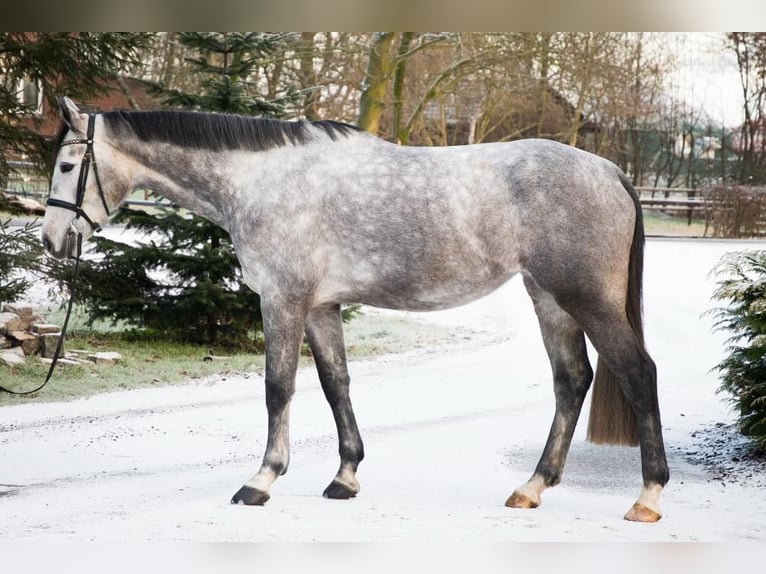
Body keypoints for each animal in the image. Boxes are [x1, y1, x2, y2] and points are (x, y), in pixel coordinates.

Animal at [40, 98, 664, 520]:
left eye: (68, 167)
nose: (51, 240)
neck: (265, 181)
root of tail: (610, 171)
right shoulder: (322, 307)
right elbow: (335, 384)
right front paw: (345, 478)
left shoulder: (284, 300)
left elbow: (279, 388)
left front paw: (261, 481)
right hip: (549, 299)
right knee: (571, 381)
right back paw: (532, 487)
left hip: (587, 301)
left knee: (638, 374)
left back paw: (648, 496)